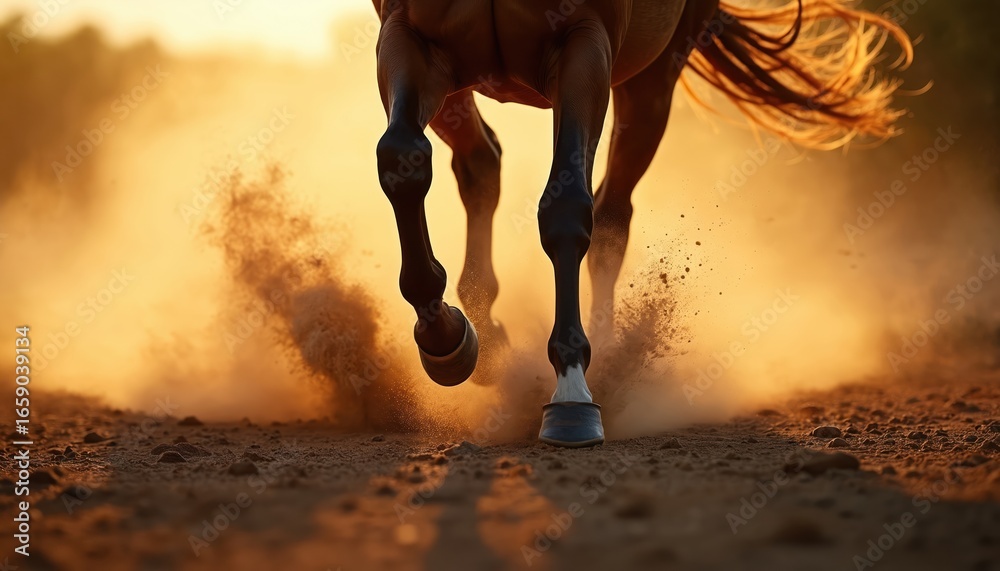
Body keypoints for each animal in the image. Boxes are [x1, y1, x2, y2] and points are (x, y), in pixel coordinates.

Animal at [369, 0, 912, 447]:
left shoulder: (584, 44)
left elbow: (567, 205)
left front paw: (572, 391)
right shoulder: (409, 36)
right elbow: (402, 158)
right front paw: (443, 338)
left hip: (653, 77)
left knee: (611, 214)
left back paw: (604, 358)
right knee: (482, 163)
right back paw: (486, 330)